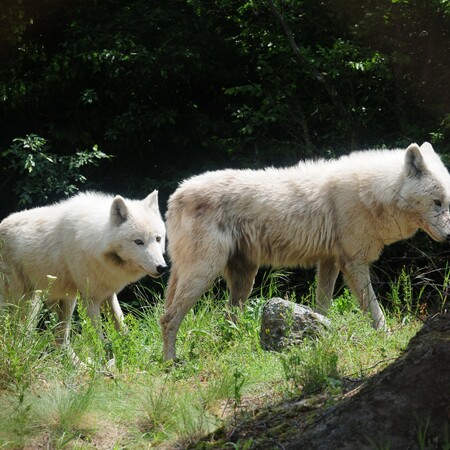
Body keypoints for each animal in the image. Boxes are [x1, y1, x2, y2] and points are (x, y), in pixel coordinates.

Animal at [0, 190, 167, 344]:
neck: (95, 241)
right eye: (138, 242)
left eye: (158, 239)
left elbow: (123, 328)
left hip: (64, 300)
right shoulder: (90, 299)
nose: (162, 268)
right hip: (27, 302)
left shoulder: (108, 294)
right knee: (20, 335)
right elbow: (98, 340)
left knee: (60, 340)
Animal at [162, 142, 450, 360]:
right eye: (437, 202)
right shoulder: (353, 263)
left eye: (446, 202)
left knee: (227, 318)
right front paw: (385, 337)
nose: (449, 237)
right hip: (205, 273)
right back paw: (171, 362)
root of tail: (175, 195)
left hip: (243, 279)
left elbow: (322, 306)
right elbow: (374, 310)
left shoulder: (330, 262)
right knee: (168, 319)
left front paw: (319, 331)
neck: (375, 191)